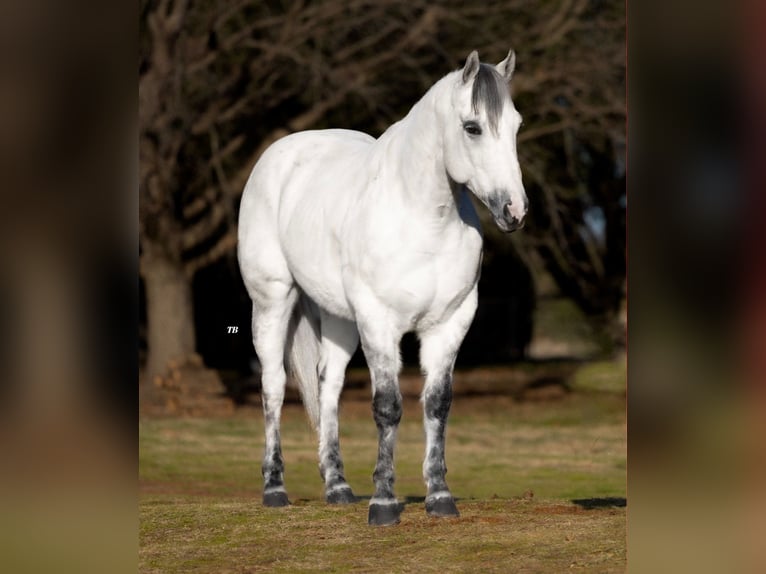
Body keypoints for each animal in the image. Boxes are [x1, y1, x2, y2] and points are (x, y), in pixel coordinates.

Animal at [240, 49, 528, 528]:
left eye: (517, 125)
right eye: (473, 127)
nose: (515, 211)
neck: (422, 220)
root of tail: (278, 155)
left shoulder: (450, 323)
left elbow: (437, 403)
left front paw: (439, 497)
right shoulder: (380, 322)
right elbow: (388, 406)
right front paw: (384, 504)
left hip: (339, 318)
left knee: (329, 385)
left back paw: (338, 487)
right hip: (272, 302)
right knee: (274, 385)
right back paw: (274, 488)